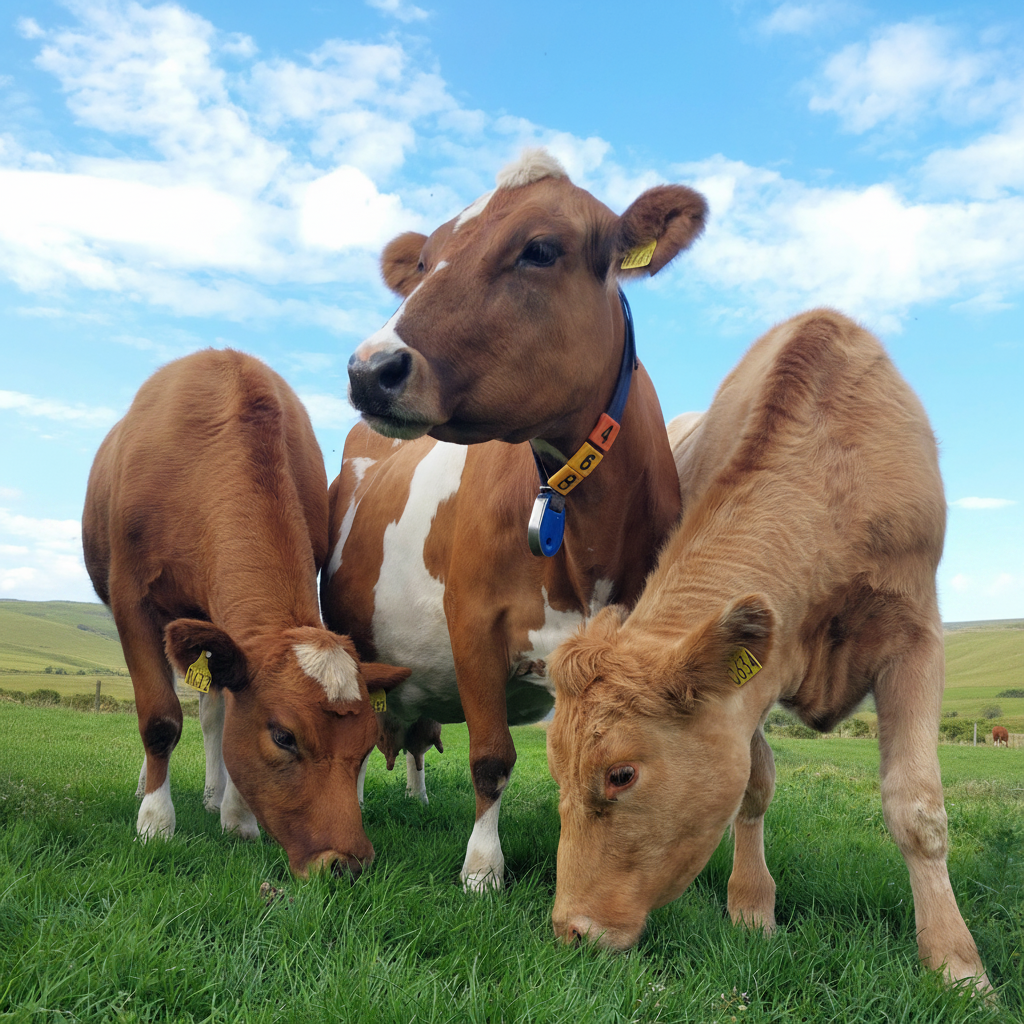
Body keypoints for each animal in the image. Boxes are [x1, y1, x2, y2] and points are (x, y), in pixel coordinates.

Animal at [82, 348, 409, 877]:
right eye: (283, 737)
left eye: (364, 747)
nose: (347, 863)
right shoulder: (131, 599)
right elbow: (159, 718)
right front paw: (155, 821)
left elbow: (229, 712)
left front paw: (238, 817)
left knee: (213, 713)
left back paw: (216, 797)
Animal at [322, 148, 707, 889]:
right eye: (425, 261)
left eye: (540, 249)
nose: (370, 369)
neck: (584, 541)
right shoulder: (472, 621)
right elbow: (492, 757)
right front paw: (482, 870)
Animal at [547, 309, 991, 992]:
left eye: (621, 775)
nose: (570, 929)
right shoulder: (755, 676)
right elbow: (754, 786)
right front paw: (753, 908)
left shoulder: (917, 633)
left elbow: (917, 807)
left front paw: (957, 964)